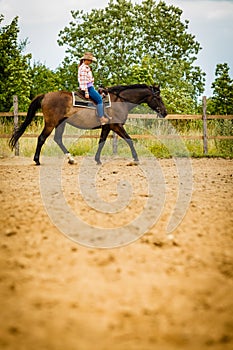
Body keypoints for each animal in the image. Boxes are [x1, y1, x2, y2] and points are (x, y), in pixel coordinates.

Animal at [9, 83, 167, 165]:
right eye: (158, 98)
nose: (165, 112)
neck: (120, 100)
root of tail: (46, 95)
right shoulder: (116, 126)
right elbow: (129, 140)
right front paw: (136, 159)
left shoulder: (107, 127)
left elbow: (101, 141)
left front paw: (97, 160)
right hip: (50, 123)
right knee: (42, 138)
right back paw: (37, 160)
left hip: (60, 124)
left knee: (58, 139)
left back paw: (71, 159)